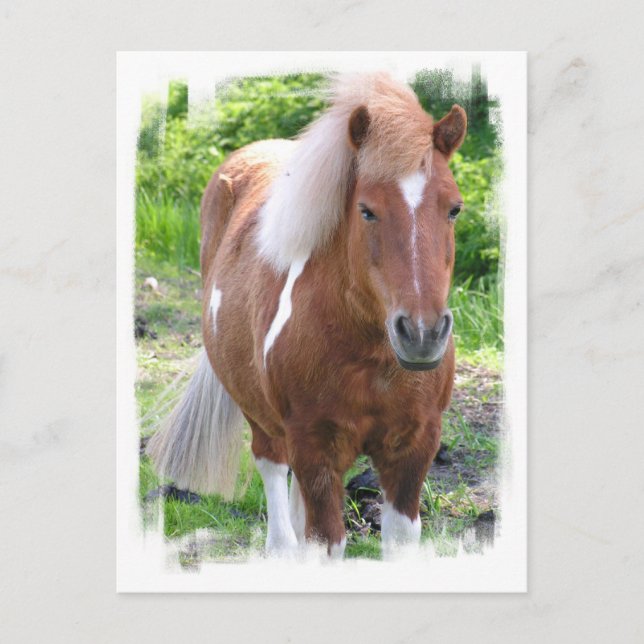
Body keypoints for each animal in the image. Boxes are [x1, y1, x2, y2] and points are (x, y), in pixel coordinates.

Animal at [147, 72, 467, 559]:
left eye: (453, 208)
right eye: (366, 210)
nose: (421, 334)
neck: (370, 357)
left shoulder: (413, 449)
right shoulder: (314, 448)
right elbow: (324, 539)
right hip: (263, 419)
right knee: (275, 481)